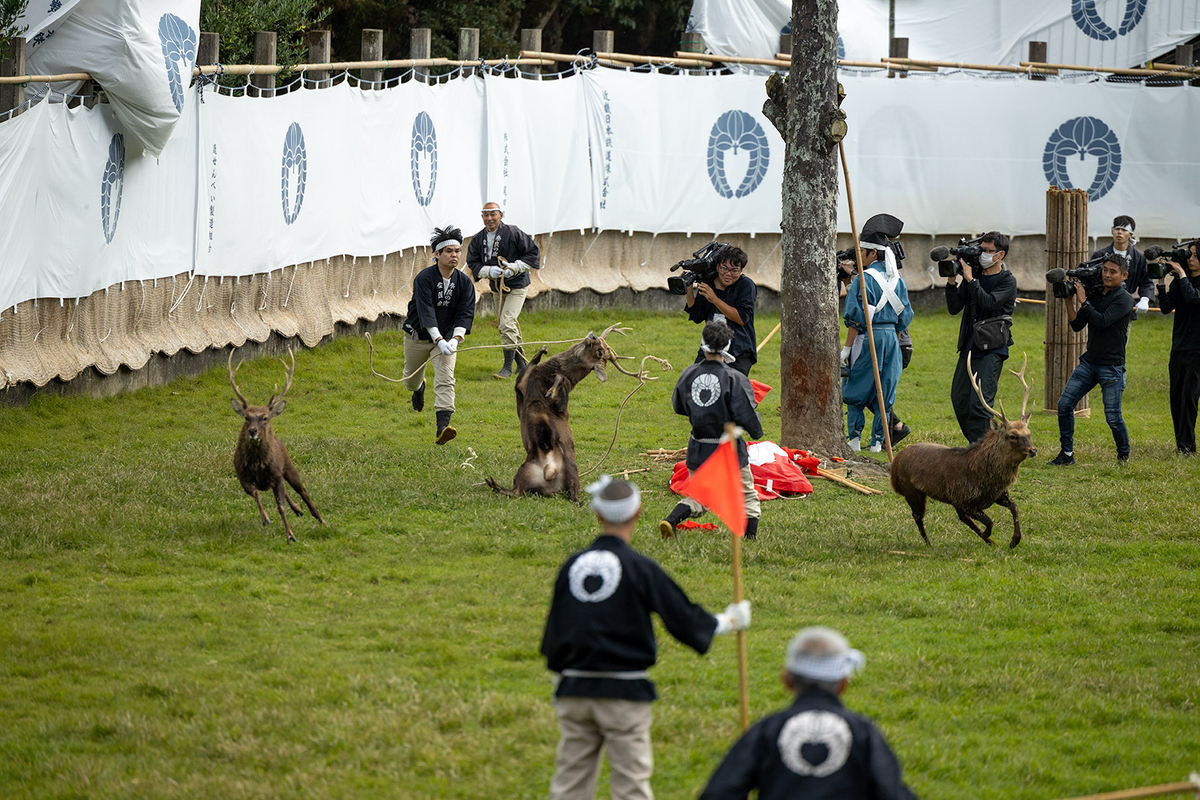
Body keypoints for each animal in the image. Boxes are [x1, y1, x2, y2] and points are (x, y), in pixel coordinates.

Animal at [228, 347, 324, 542]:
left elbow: (281, 506)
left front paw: (290, 535)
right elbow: (256, 493)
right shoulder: (243, 476)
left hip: (288, 465)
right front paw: (265, 518)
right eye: (246, 417)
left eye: (265, 418)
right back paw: (298, 510)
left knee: (302, 491)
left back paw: (320, 518)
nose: (253, 431)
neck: (257, 465)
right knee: (285, 493)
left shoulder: (277, 474)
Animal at [888, 352, 1036, 546]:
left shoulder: (998, 495)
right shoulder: (963, 498)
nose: (1033, 450)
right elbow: (989, 521)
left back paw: (990, 542)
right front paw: (989, 535)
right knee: (918, 516)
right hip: (911, 490)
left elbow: (1015, 507)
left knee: (961, 518)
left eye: (1029, 432)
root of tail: (895, 462)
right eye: (1012, 435)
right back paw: (929, 544)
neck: (986, 480)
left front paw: (1014, 540)